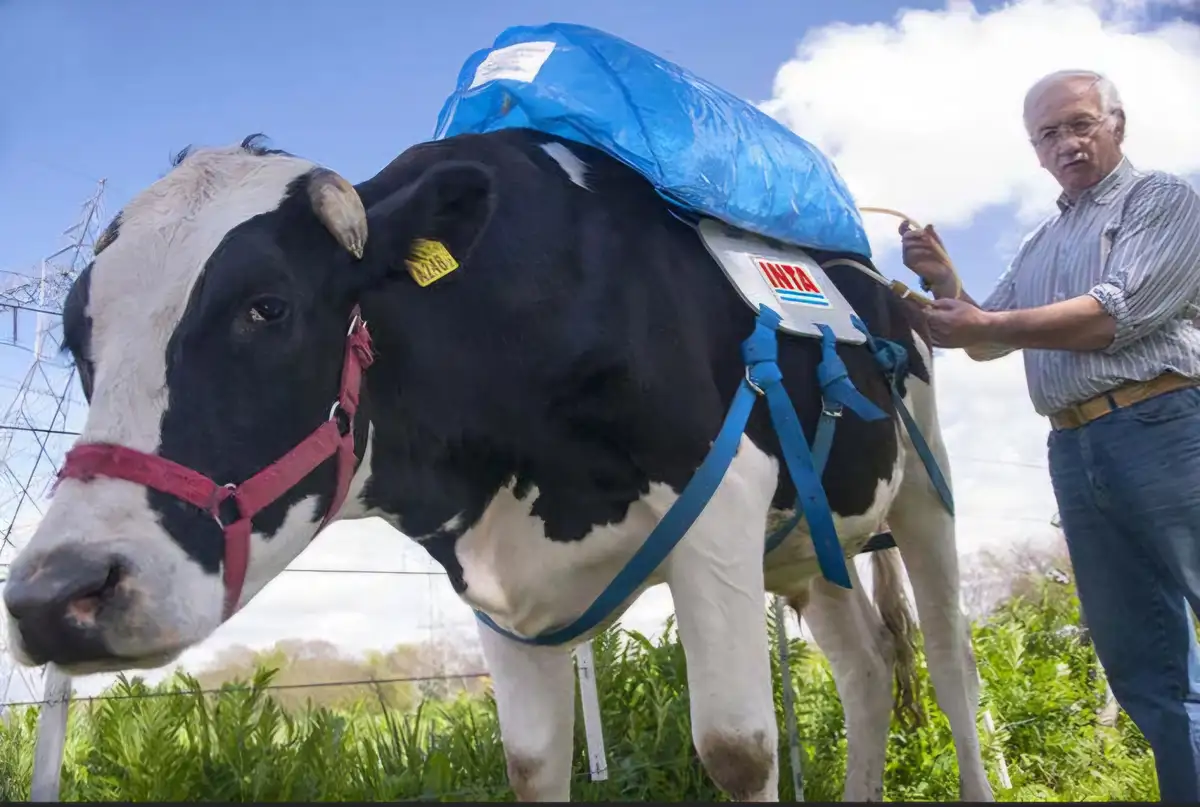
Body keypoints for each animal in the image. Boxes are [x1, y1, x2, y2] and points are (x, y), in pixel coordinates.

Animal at [2, 129, 993, 801]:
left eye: (267, 306)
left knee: (950, 665)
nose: (55, 596)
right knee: (868, 668)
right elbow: (532, 761)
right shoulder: (492, 573)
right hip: (807, 547)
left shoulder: (721, 510)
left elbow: (738, 748)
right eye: (75, 340)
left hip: (926, 495)